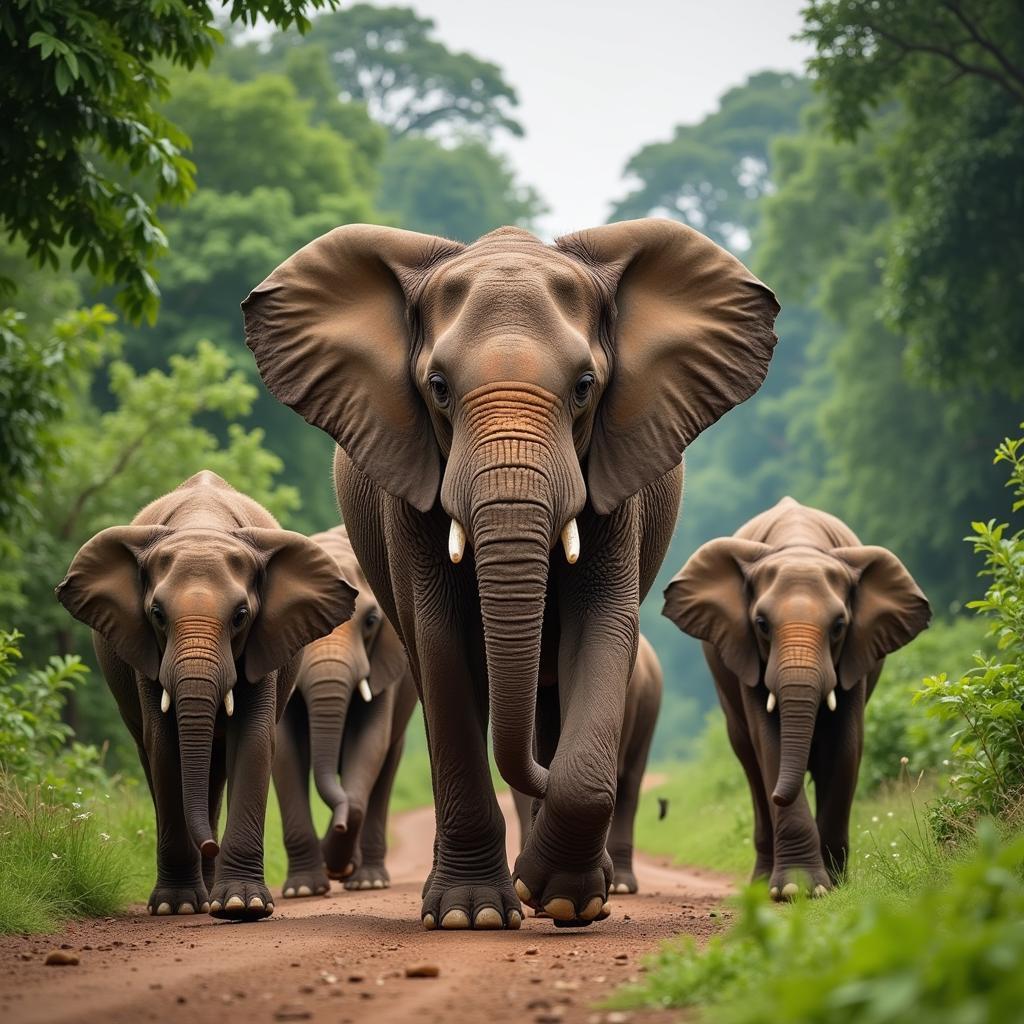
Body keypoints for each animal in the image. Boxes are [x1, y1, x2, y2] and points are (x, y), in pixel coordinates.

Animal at [58, 471, 360, 921]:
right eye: (157, 615)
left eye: (240, 617)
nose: (210, 845)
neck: (203, 527)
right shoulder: (146, 653)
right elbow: (164, 746)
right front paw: (177, 906)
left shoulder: (265, 641)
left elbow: (254, 739)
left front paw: (241, 905)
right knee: (153, 757)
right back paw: (198, 896)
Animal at [274, 528, 417, 897]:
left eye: (371, 621)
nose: (336, 828)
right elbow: (285, 753)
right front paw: (303, 890)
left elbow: (369, 743)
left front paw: (340, 865)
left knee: (385, 767)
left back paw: (368, 881)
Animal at [659, 495, 933, 897]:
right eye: (761, 624)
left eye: (839, 626)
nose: (781, 795)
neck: (799, 546)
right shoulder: (746, 653)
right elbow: (769, 744)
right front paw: (794, 889)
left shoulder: (856, 654)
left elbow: (844, 748)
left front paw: (830, 887)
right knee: (751, 762)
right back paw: (762, 881)